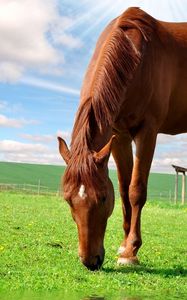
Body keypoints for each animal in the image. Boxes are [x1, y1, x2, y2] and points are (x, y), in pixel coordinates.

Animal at [57, 7, 187, 270]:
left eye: (103, 197)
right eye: (68, 200)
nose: (90, 261)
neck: (139, 56)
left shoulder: (148, 131)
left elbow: (136, 190)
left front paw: (131, 252)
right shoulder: (119, 136)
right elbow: (125, 190)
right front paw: (125, 244)